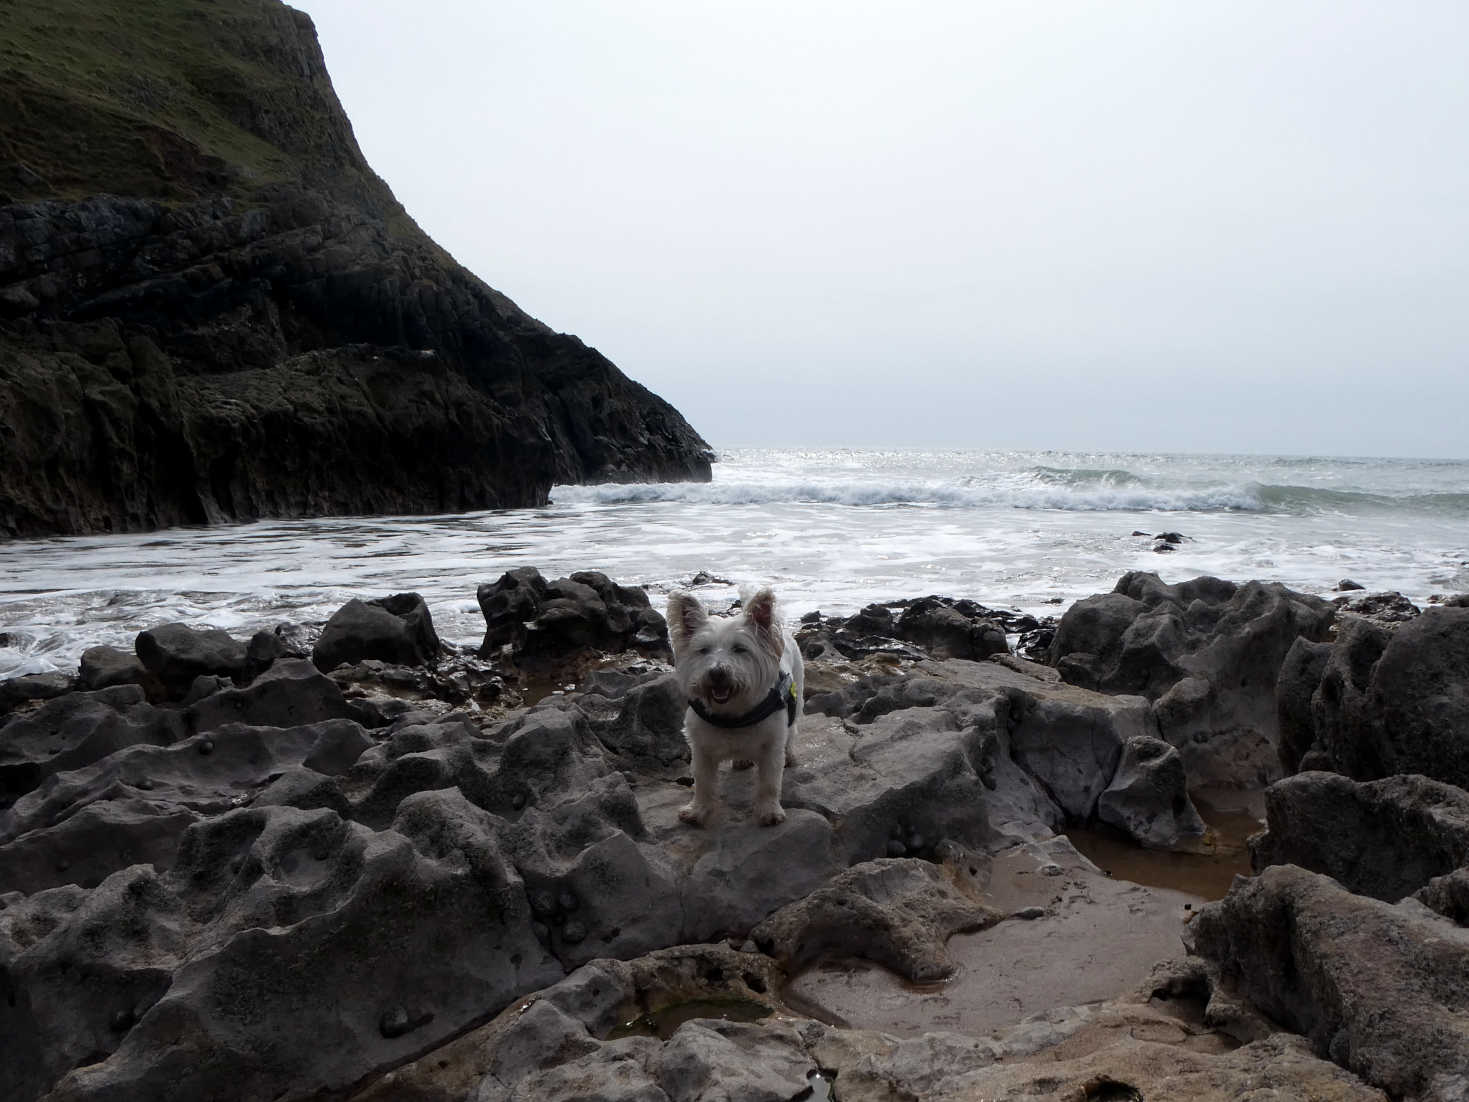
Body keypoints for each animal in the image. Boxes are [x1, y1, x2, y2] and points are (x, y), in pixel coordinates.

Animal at [669, 590, 805, 822]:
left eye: (740, 649)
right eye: (703, 650)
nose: (717, 673)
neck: (732, 714)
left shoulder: (771, 748)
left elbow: (769, 782)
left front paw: (769, 811)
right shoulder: (701, 750)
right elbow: (703, 782)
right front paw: (697, 810)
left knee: (793, 729)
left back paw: (790, 755)